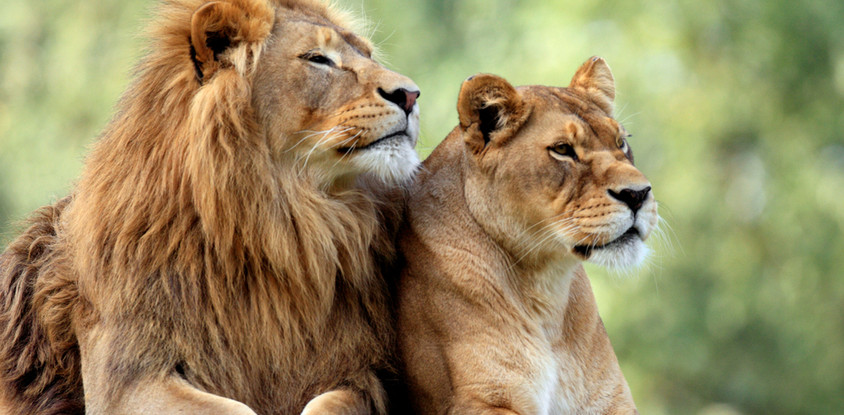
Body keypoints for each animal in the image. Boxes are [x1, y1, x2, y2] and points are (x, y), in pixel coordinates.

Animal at [0, 0, 421, 414]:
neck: (280, 225)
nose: (411, 95)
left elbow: (328, 405)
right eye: (318, 59)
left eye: (368, 54)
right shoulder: (126, 379)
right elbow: (233, 409)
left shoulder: (361, 374)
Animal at [395, 57, 657, 414]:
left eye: (621, 143)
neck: (546, 290)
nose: (638, 194)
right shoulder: (479, 400)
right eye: (563, 149)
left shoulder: (610, 400)